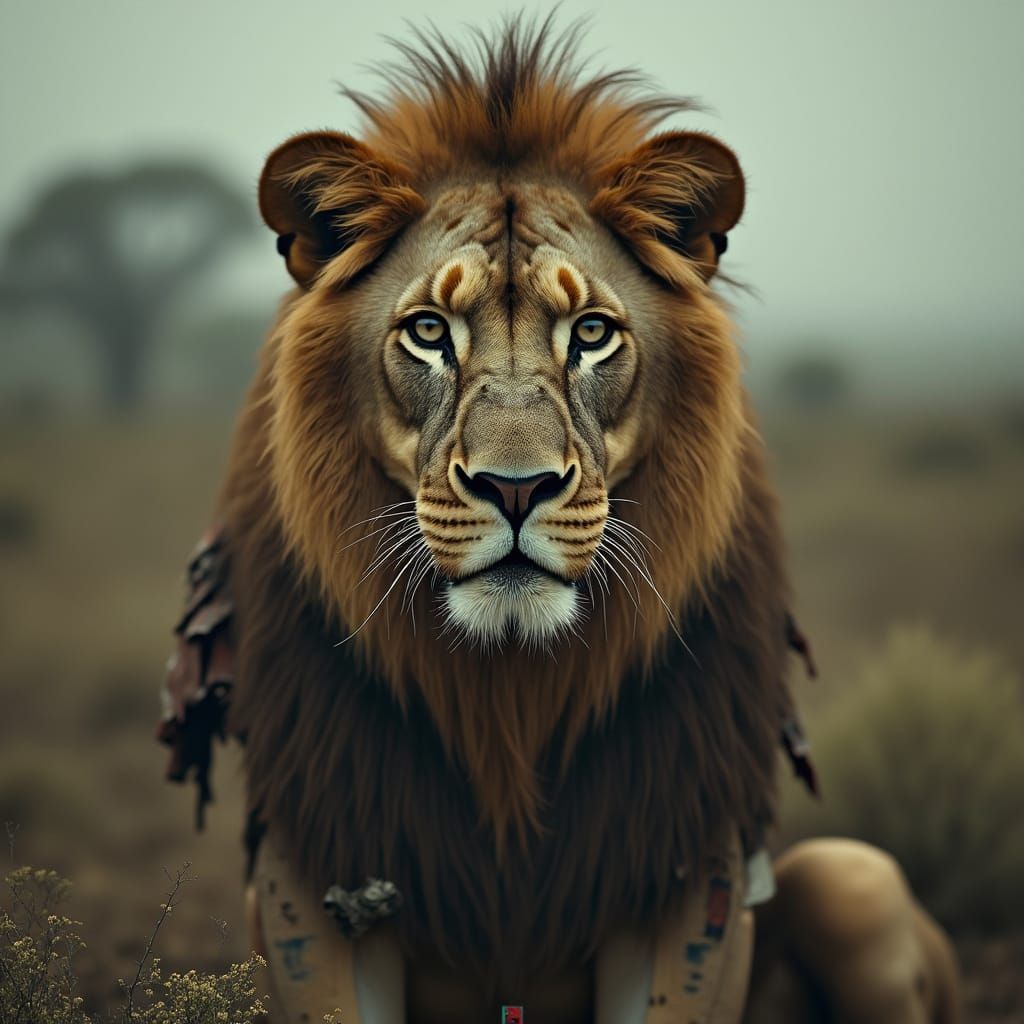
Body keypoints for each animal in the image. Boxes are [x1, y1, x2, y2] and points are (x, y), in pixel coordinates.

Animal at [158, 17, 961, 1024]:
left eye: (590, 334)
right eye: (429, 331)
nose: (516, 488)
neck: (510, 692)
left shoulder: (686, 868)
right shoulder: (320, 863)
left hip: (853, 879)